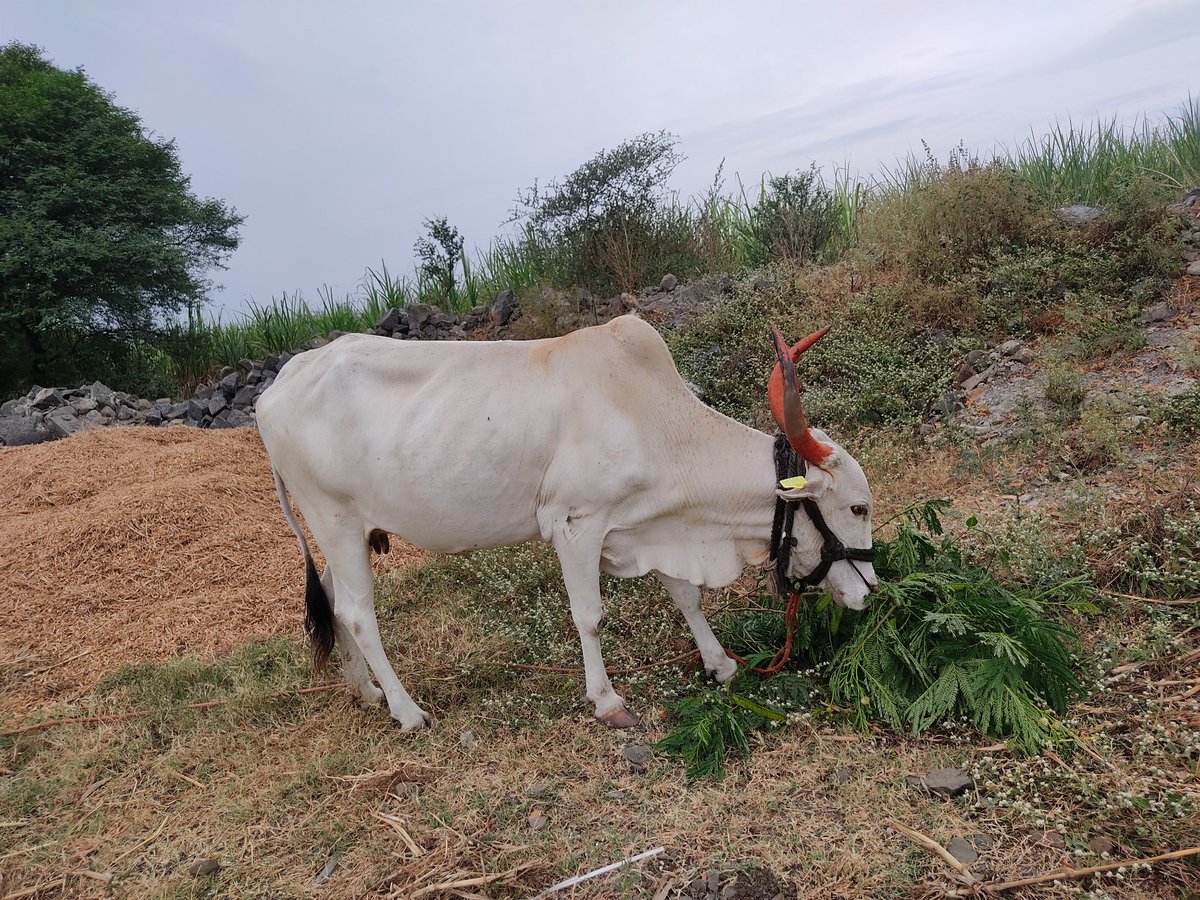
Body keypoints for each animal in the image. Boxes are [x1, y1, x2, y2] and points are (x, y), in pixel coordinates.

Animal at [257, 314, 876, 730]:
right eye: (858, 507)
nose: (871, 591)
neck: (650, 417)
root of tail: (278, 387)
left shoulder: (645, 524)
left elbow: (685, 595)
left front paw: (721, 664)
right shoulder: (577, 524)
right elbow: (590, 617)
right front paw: (607, 701)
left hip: (346, 534)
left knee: (334, 599)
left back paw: (366, 693)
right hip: (335, 519)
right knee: (358, 614)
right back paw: (407, 710)